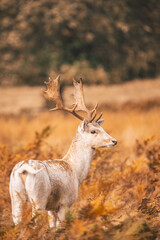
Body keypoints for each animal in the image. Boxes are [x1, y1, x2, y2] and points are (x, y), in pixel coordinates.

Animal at [9, 76, 117, 228]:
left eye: (102, 128)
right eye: (93, 131)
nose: (114, 141)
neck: (76, 173)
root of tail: (22, 170)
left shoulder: (51, 208)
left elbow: (52, 227)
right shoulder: (65, 202)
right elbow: (60, 227)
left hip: (14, 197)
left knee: (18, 223)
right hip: (38, 197)